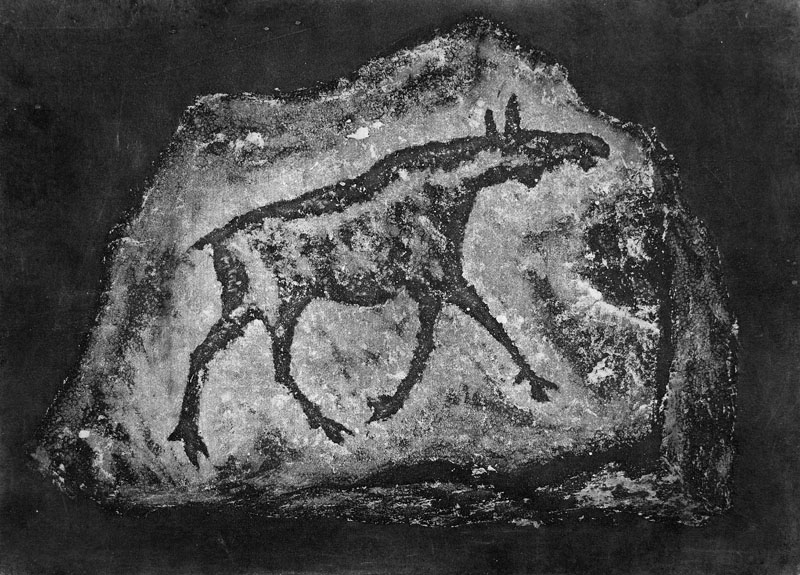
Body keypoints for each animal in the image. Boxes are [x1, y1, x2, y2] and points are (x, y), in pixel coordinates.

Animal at [168, 94, 610, 466]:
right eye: (534, 142)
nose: (596, 145)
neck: (459, 192)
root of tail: (214, 242)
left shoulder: (430, 286)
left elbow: (435, 341)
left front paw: (388, 405)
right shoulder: (441, 277)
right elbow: (483, 327)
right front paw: (536, 383)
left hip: (244, 301)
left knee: (203, 351)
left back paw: (189, 435)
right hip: (280, 301)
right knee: (274, 364)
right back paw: (326, 426)